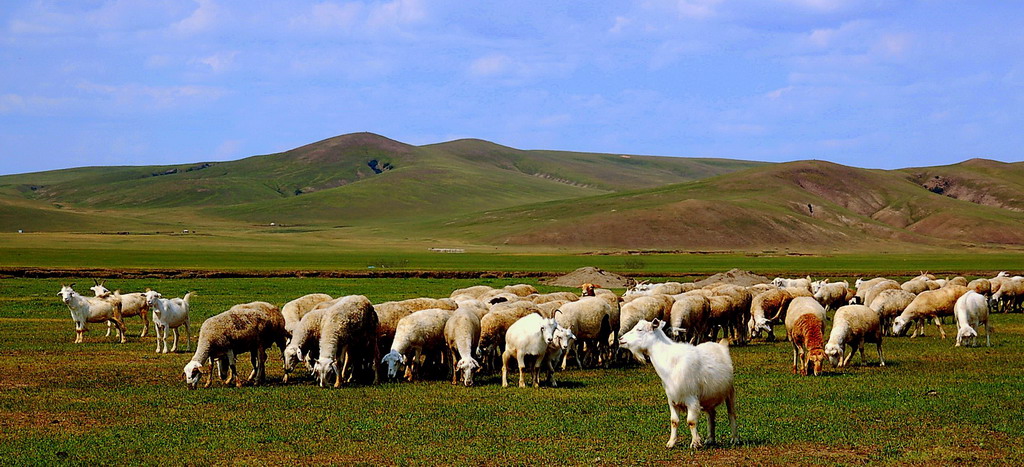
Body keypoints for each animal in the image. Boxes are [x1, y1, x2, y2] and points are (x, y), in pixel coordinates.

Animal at [614, 317, 737, 448]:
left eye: (640, 329)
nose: (621, 339)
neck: (670, 361)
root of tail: (721, 346)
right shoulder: (672, 399)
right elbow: (674, 421)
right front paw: (671, 442)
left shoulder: (691, 398)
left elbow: (691, 421)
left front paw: (695, 443)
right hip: (709, 398)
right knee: (711, 414)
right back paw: (710, 439)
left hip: (730, 391)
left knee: (731, 414)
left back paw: (735, 439)